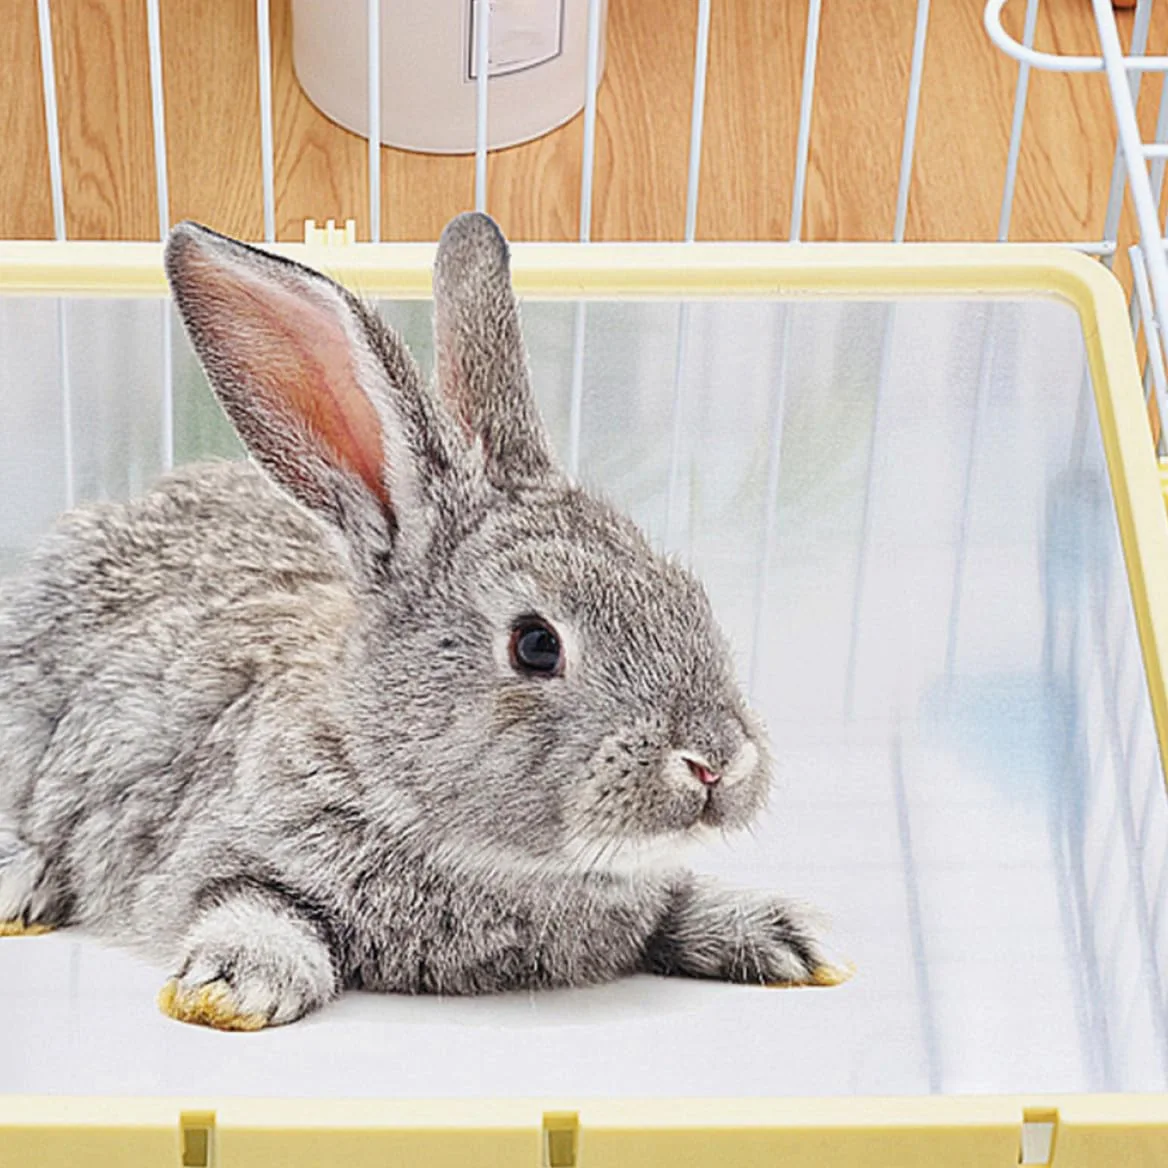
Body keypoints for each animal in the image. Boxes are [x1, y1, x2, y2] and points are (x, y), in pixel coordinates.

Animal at [0, 213, 845, 1030]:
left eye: (689, 596)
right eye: (535, 644)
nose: (717, 761)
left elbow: (673, 904)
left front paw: (790, 938)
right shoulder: (205, 854)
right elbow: (255, 907)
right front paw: (234, 990)